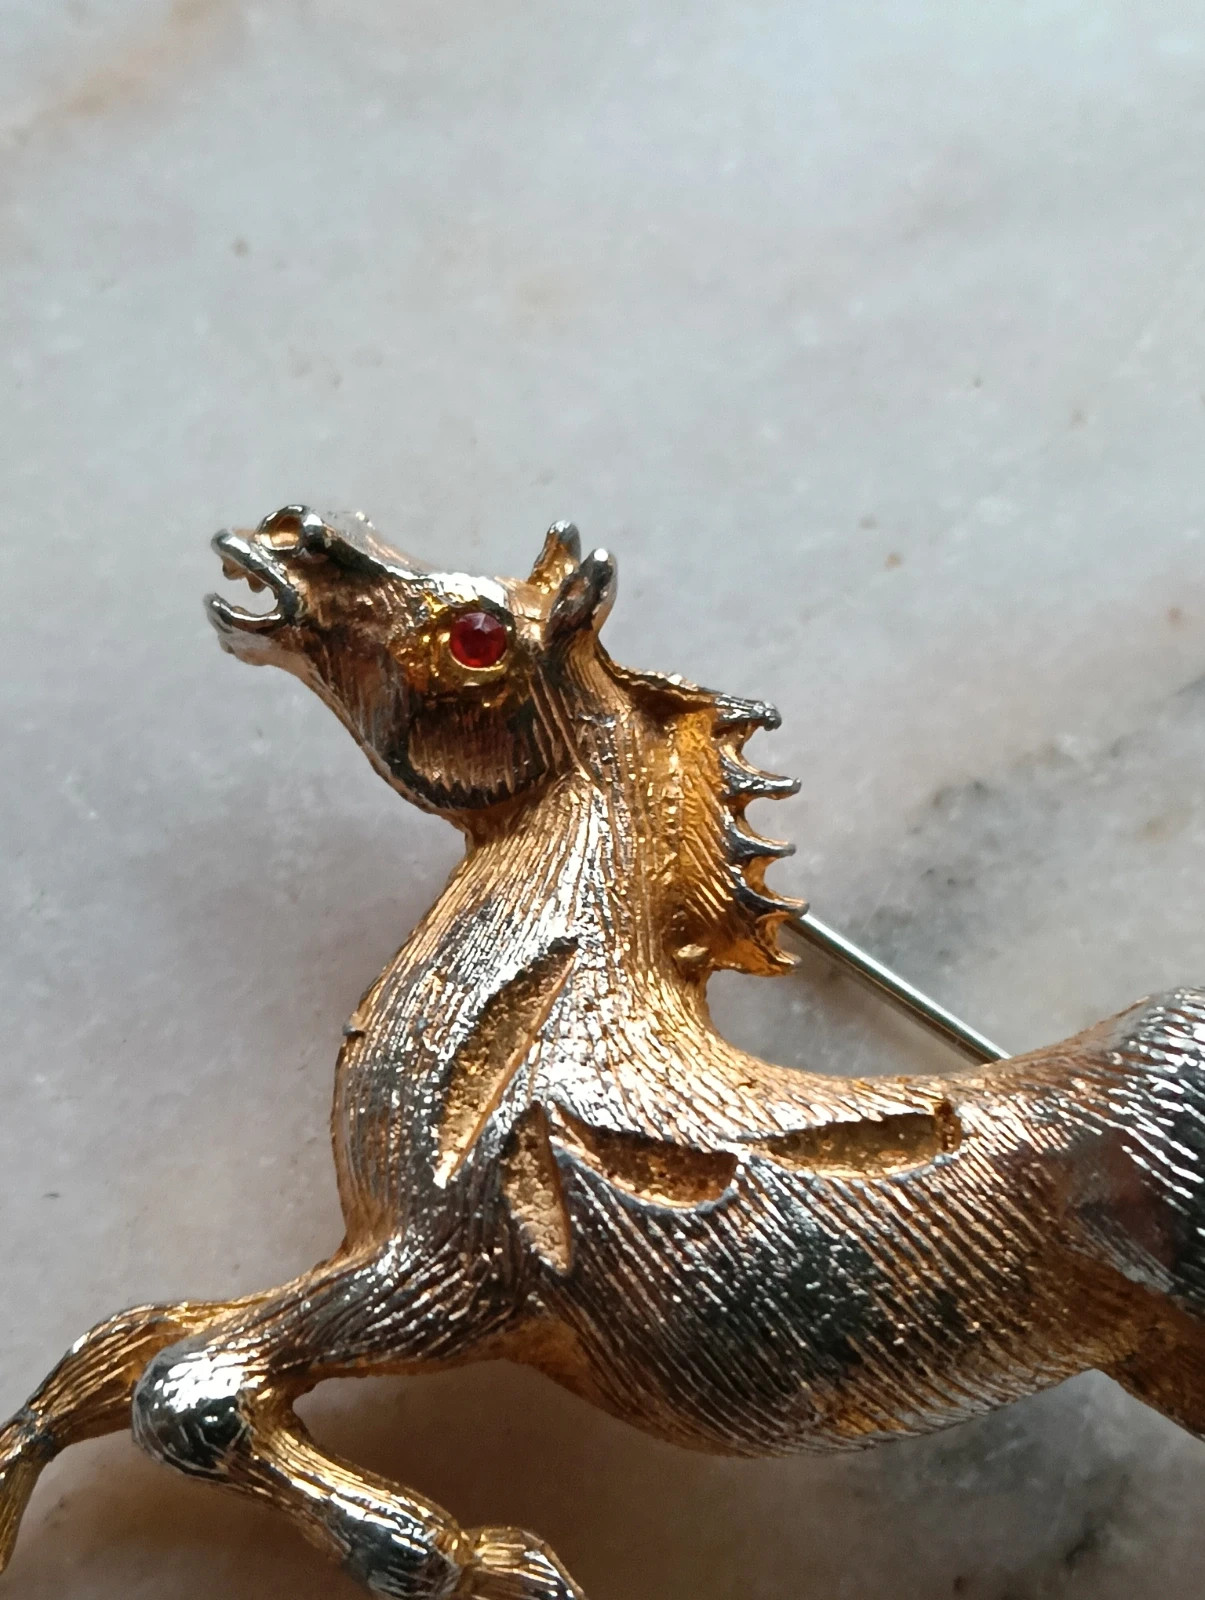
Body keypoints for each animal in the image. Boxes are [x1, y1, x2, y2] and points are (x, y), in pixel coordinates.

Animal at [3, 505, 1205, 1599]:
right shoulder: (366, 1262)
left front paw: (488, 1562)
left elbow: (186, 1393)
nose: (293, 531)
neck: (538, 1023)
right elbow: (111, 1352)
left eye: (476, 635)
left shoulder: (438, 1280)